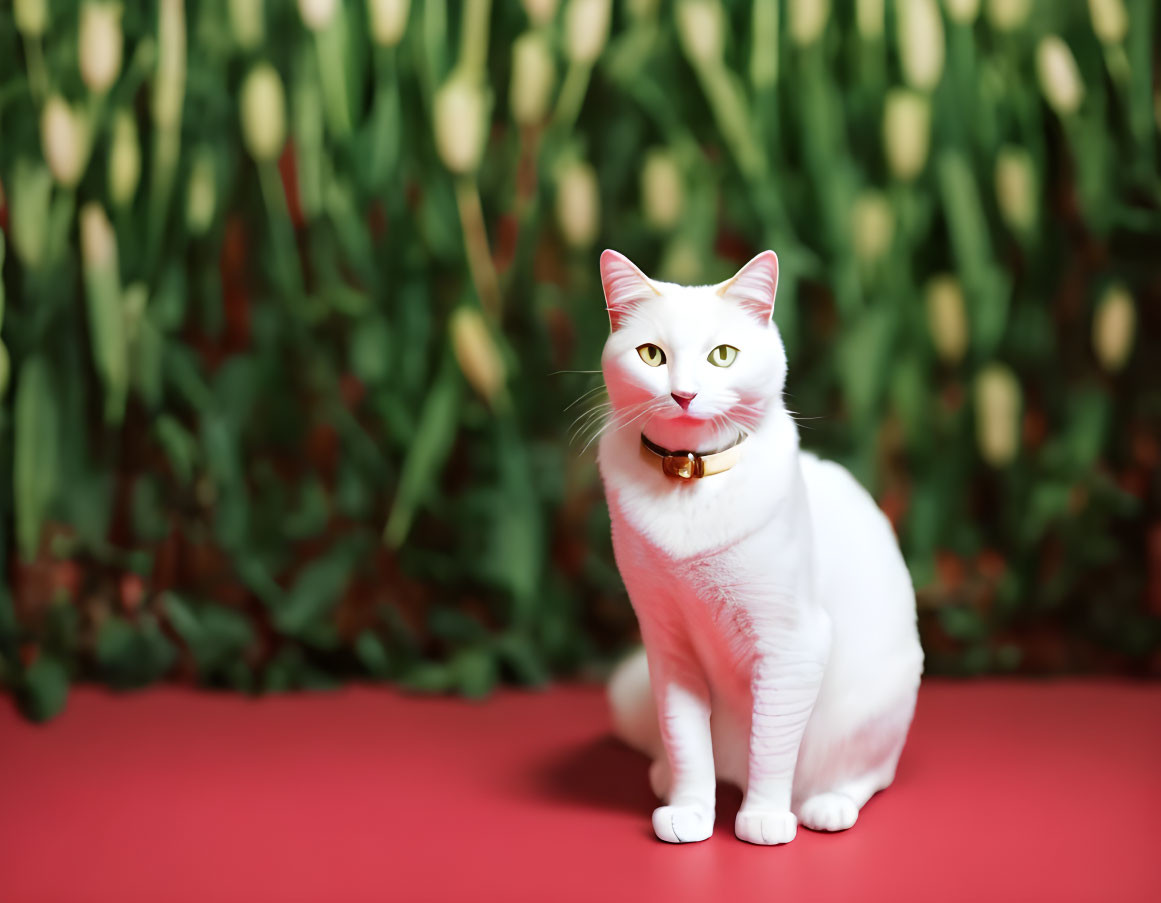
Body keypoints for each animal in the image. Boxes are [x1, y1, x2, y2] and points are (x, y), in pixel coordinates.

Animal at [599, 249, 924, 840]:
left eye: (722, 356)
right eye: (652, 355)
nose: (683, 394)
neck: (691, 480)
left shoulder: (792, 645)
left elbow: (771, 747)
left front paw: (765, 818)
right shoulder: (667, 643)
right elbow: (685, 740)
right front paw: (690, 810)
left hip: (874, 709)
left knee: (867, 775)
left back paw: (827, 804)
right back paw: (667, 778)